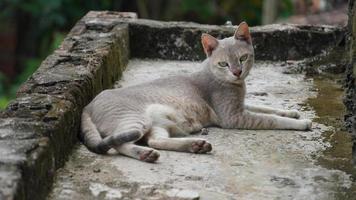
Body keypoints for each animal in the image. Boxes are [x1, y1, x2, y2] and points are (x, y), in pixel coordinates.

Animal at [81, 21, 312, 162]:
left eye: (243, 58)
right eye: (223, 64)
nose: (237, 72)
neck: (236, 85)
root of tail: (87, 105)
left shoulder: (242, 105)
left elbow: (266, 108)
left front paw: (291, 112)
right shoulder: (234, 116)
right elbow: (271, 119)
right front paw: (301, 122)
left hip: (157, 124)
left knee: (155, 140)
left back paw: (194, 146)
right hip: (136, 120)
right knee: (120, 143)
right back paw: (148, 153)